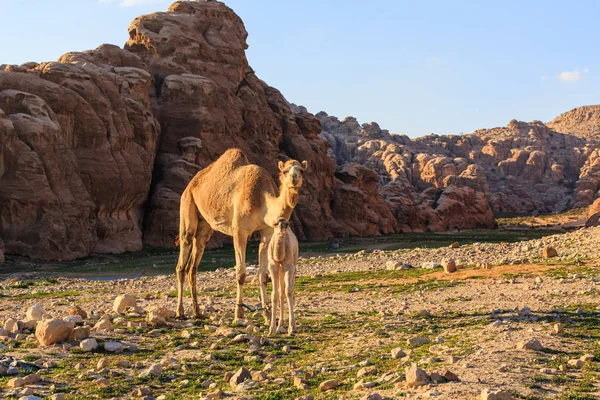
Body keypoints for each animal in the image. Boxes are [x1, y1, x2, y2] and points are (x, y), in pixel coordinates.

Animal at [172, 148, 304, 320]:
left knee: (193, 264)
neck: (262, 201)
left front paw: (267, 315)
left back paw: (197, 312)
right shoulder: (239, 231)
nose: (294, 178)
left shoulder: (267, 233)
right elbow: (241, 273)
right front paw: (239, 313)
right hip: (187, 205)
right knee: (182, 260)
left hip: (205, 226)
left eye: (301, 170)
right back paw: (180, 312)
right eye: (285, 171)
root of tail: (191, 184)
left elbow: (263, 275)